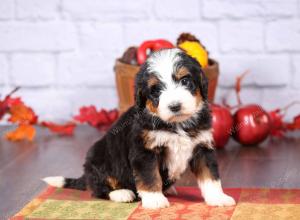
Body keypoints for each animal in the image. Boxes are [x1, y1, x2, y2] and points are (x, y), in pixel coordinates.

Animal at [42, 48, 234, 208]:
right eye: (155, 90)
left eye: (185, 80)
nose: (175, 106)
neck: (177, 124)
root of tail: (86, 174)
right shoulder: (144, 151)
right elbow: (150, 176)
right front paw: (155, 199)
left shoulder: (202, 146)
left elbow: (210, 176)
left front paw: (218, 198)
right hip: (100, 157)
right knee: (99, 188)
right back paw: (121, 193)